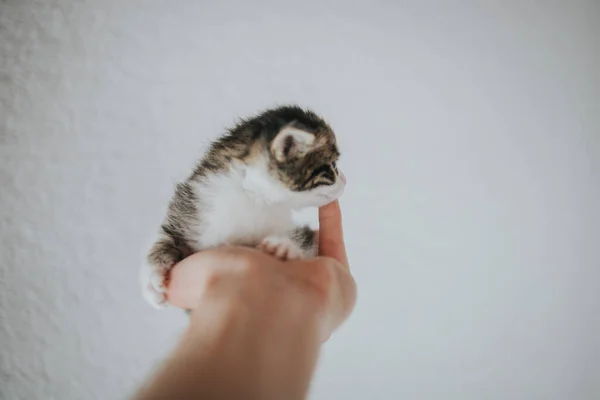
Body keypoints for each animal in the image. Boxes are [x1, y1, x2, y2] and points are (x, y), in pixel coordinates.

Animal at [141, 104, 344, 308]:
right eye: (333, 165)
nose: (345, 180)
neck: (253, 196)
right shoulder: (192, 207)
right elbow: (164, 236)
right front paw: (152, 278)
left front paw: (284, 248)